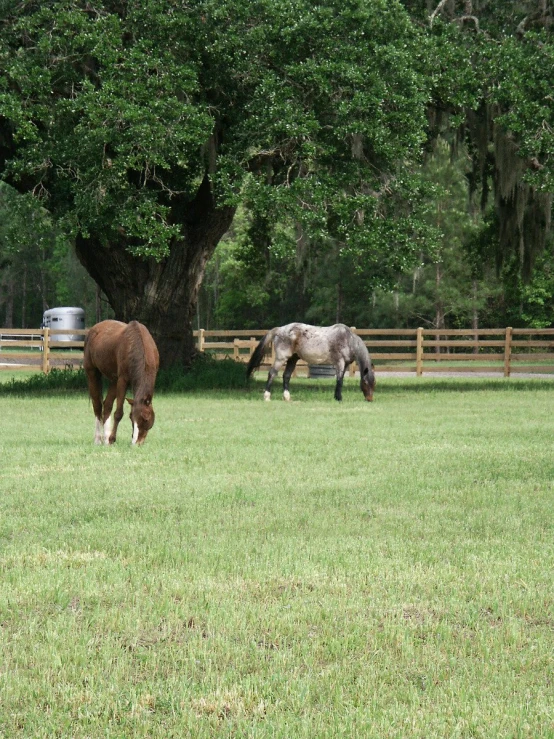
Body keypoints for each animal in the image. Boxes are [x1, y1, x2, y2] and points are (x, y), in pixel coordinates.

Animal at [246, 324, 376, 402]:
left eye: (374, 383)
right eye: (365, 382)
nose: (370, 399)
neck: (348, 339)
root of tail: (279, 329)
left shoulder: (346, 364)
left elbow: (340, 379)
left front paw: (336, 397)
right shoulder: (340, 362)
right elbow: (340, 381)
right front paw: (339, 398)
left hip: (292, 359)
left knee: (286, 376)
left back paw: (287, 397)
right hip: (281, 359)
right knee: (272, 373)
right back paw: (267, 397)